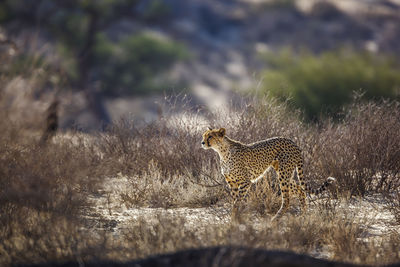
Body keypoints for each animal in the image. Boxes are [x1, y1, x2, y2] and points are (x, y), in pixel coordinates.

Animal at [200, 129, 334, 221]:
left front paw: (234, 219)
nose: (202, 143)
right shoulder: (232, 182)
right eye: (204, 135)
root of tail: (293, 142)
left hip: (283, 174)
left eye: (210, 136)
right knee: (300, 189)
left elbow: (237, 201)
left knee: (287, 199)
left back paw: (275, 219)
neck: (222, 151)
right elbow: (234, 201)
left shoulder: (245, 182)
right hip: (283, 172)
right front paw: (234, 218)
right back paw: (303, 215)